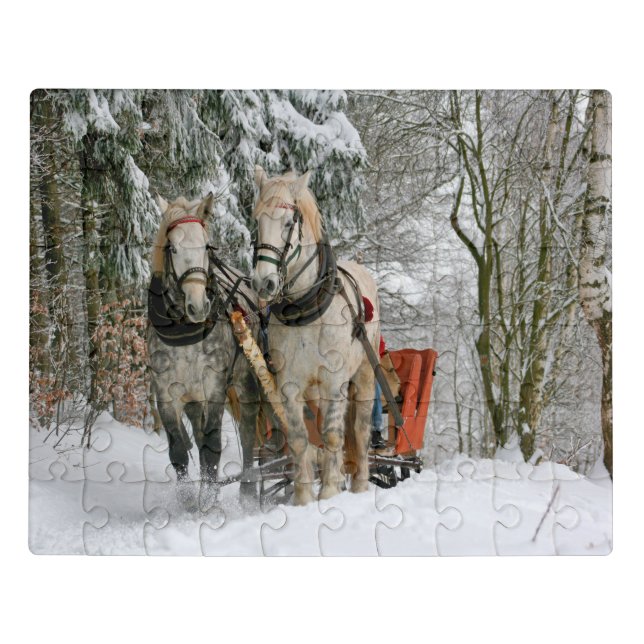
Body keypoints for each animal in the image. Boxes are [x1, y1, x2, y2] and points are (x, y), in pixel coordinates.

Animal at [147, 193, 260, 511]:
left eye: (206, 246)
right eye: (172, 247)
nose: (198, 306)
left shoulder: (214, 387)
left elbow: (213, 445)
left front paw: (208, 500)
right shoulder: (166, 392)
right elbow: (178, 448)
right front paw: (188, 499)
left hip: (245, 383)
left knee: (248, 433)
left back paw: (248, 491)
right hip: (192, 399)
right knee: (196, 438)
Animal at [251, 167, 380, 505]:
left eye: (288, 223)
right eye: (257, 222)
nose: (263, 283)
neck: (305, 308)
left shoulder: (335, 380)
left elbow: (334, 435)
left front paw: (331, 490)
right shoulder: (290, 384)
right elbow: (299, 439)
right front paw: (304, 496)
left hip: (363, 374)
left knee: (359, 430)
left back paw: (359, 483)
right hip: (316, 391)